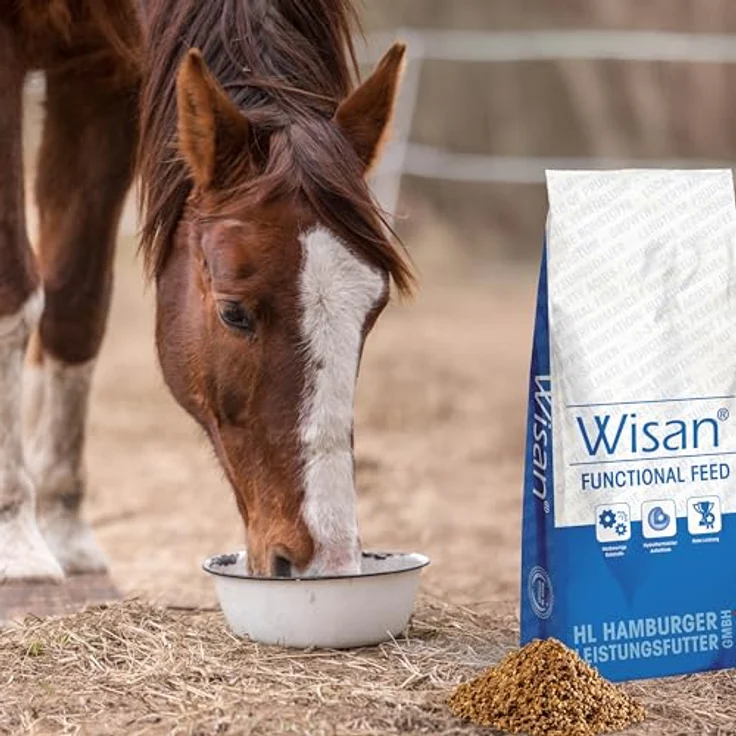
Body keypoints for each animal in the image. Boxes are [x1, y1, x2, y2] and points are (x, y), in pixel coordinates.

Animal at [0, 0, 411, 584]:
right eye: (233, 313)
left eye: (372, 310)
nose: (325, 564)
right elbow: (14, 290)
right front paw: (16, 538)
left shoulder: (100, 74)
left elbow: (77, 305)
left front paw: (63, 527)